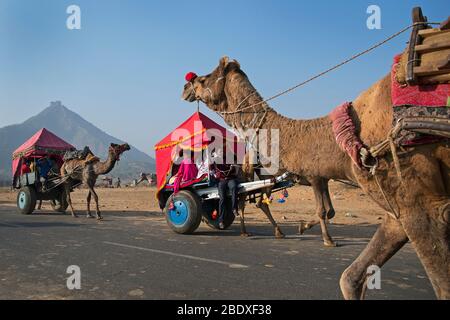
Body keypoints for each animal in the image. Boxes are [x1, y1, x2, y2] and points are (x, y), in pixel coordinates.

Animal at [181, 56, 448, 298]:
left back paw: (274, 231)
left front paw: (309, 230)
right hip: (250, 176)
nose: (186, 86)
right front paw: (323, 237)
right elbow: (324, 211)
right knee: (243, 200)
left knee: (254, 202)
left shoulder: (330, 179)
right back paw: (250, 231)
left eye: (203, 79)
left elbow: (329, 212)